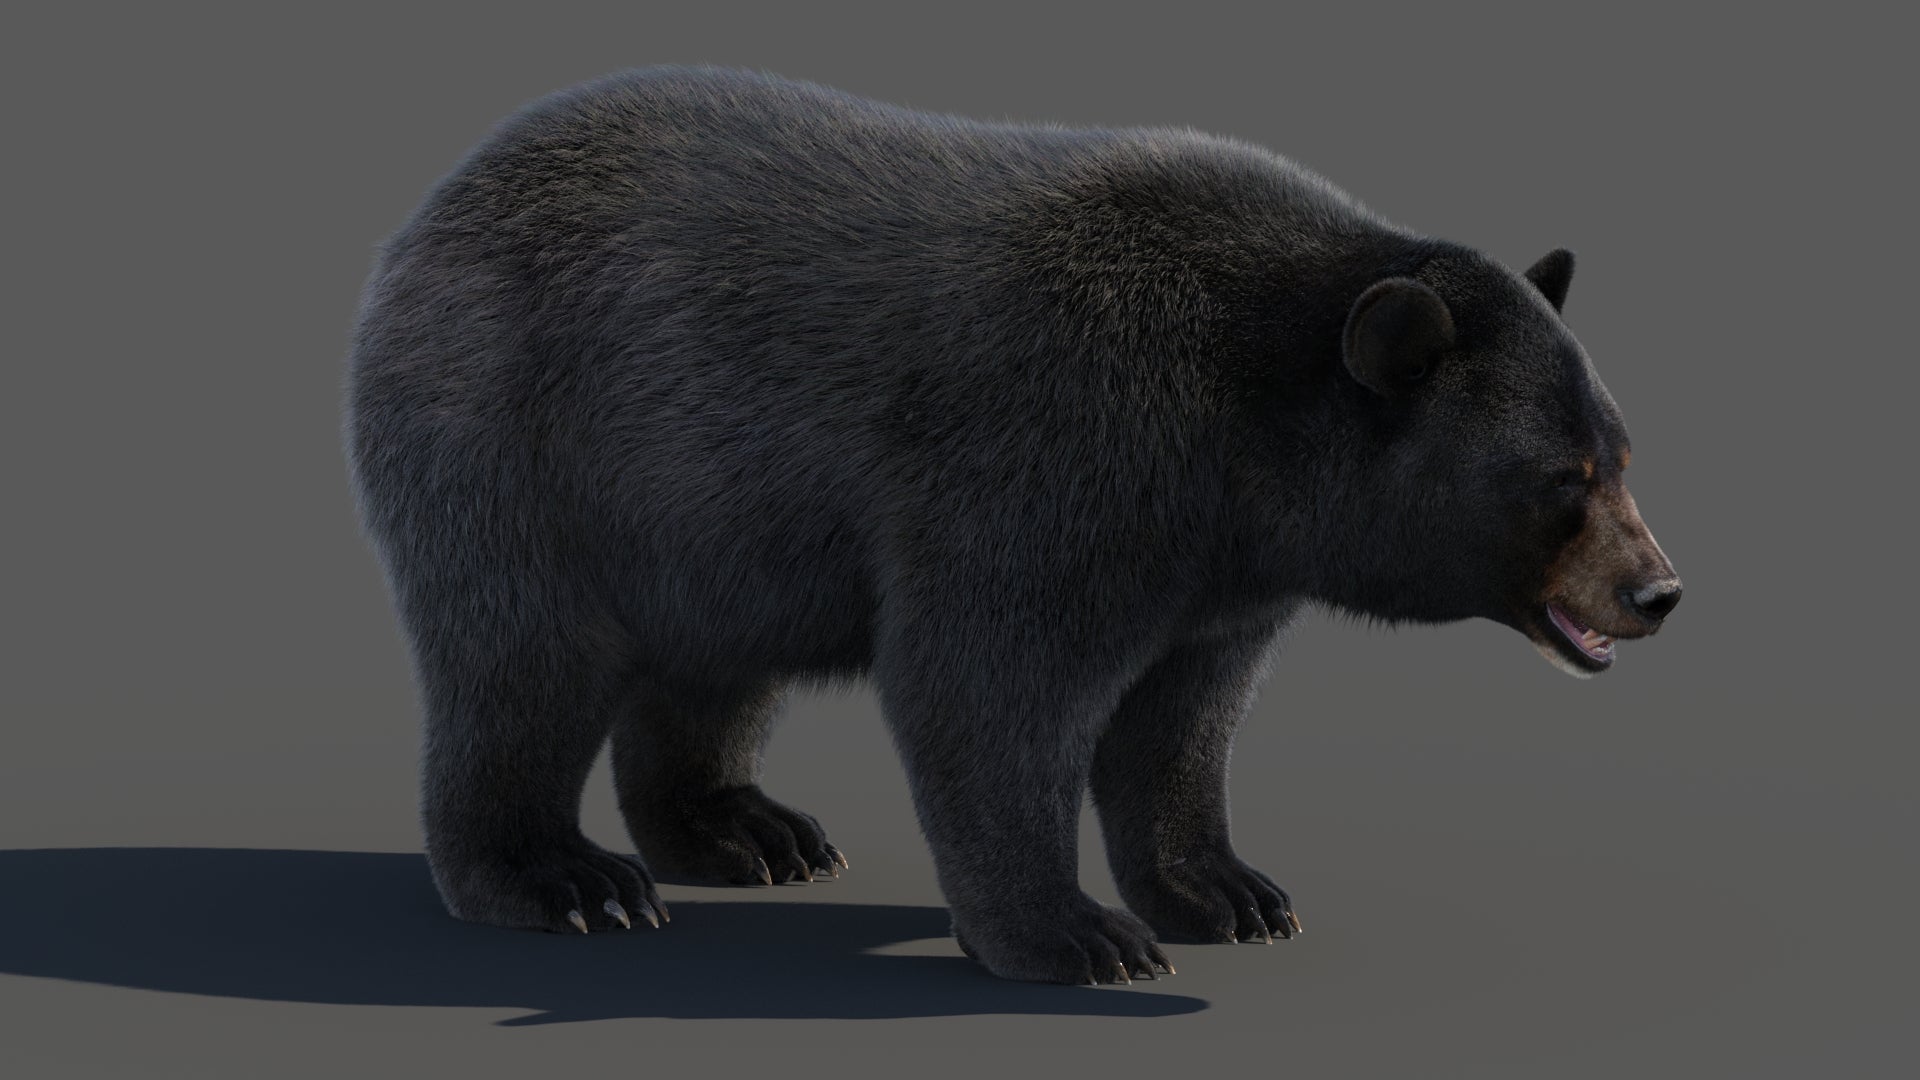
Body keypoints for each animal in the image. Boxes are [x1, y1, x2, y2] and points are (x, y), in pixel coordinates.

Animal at [345, 66, 1682, 985]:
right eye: (1560, 478)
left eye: (1623, 455)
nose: (1660, 592)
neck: (1243, 434)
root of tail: (430, 212)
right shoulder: (1055, 450)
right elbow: (989, 686)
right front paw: (1080, 935)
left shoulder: (1223, 571)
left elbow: (1180, 719)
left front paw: (1230, 891)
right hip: (522, 439)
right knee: (520, 658)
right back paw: (564, 876)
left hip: (705, 514)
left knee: (711, 662)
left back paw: (745, 828)